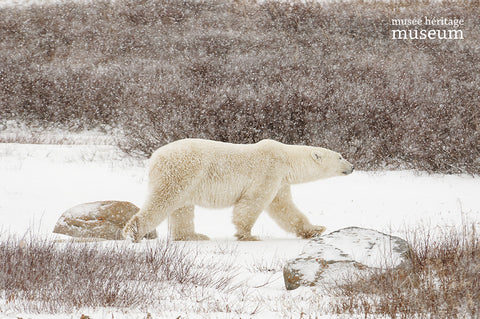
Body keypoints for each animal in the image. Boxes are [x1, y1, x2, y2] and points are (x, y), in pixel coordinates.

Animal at [123, 139, 352, 242]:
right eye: (340, 156)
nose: (352, 167)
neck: (286, 159)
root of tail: (154, 157)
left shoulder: (280, 182)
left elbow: (284, 208)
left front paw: (315, 229)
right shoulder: (268, 172)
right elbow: (252, 203)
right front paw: (247, 235)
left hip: (187, 180)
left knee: (183, 208)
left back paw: (193, 235)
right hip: (180, 172)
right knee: (163, 201)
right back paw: (133, 232)